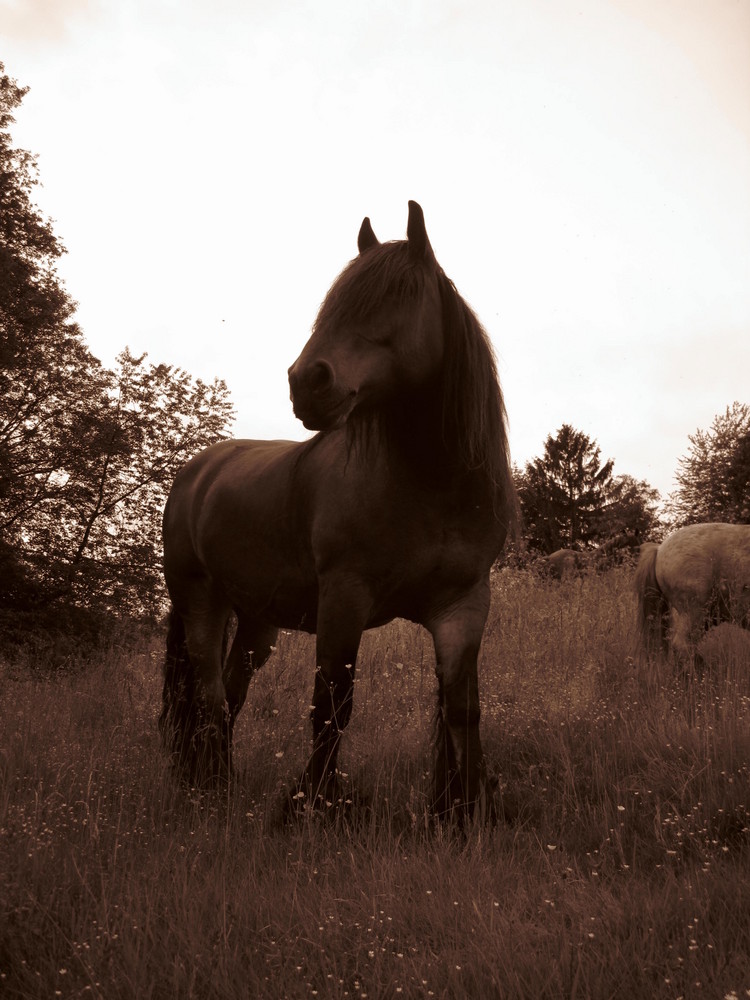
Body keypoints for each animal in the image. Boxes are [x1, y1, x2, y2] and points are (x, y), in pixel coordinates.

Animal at [159, 201, 516, 820]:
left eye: (395, 297)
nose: (307, 381)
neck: (431, 488)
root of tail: (196, 471)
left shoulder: (464, 606)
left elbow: (462, 710)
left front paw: (462, 812)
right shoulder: (345, 597)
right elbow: (333, 706)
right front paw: (309, 805)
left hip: (255, 619)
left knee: (230, 692)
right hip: (200, 600)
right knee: (207, 695)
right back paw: (215, 787)